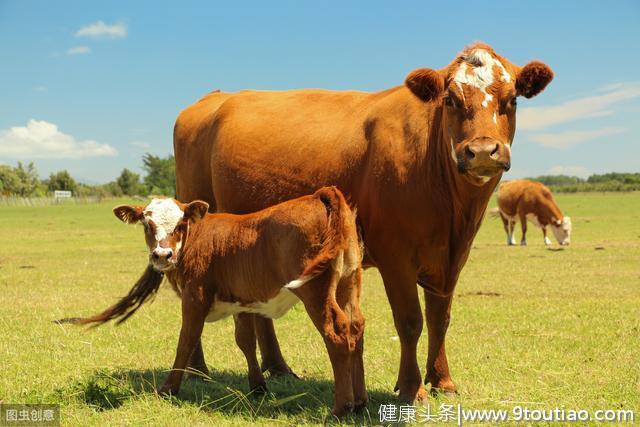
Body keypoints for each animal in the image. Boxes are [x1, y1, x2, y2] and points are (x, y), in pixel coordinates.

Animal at [69, 187, 364, 418]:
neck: (197, 238)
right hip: (349, 284)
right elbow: (245, 341)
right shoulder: (242, 301)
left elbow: (186, 341)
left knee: (337, 334)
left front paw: (168, 389)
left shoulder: (195, 298)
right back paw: (360, 402)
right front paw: (258, 387)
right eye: (147, 224)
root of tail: (319, 195)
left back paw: (340, 409)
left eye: (180, 225)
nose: (162, 255)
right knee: (356, 329)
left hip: (316, 291)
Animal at [175, 41, 556, 402]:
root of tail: (213, 98)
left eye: (512, 100)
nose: (481, 151)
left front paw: (442, 380)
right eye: (450, 100)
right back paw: (196, 371)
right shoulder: (395, 257)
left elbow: (440, 319)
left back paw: (278, 367)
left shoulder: (451, 259)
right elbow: (410, 321)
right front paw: (411, 387)